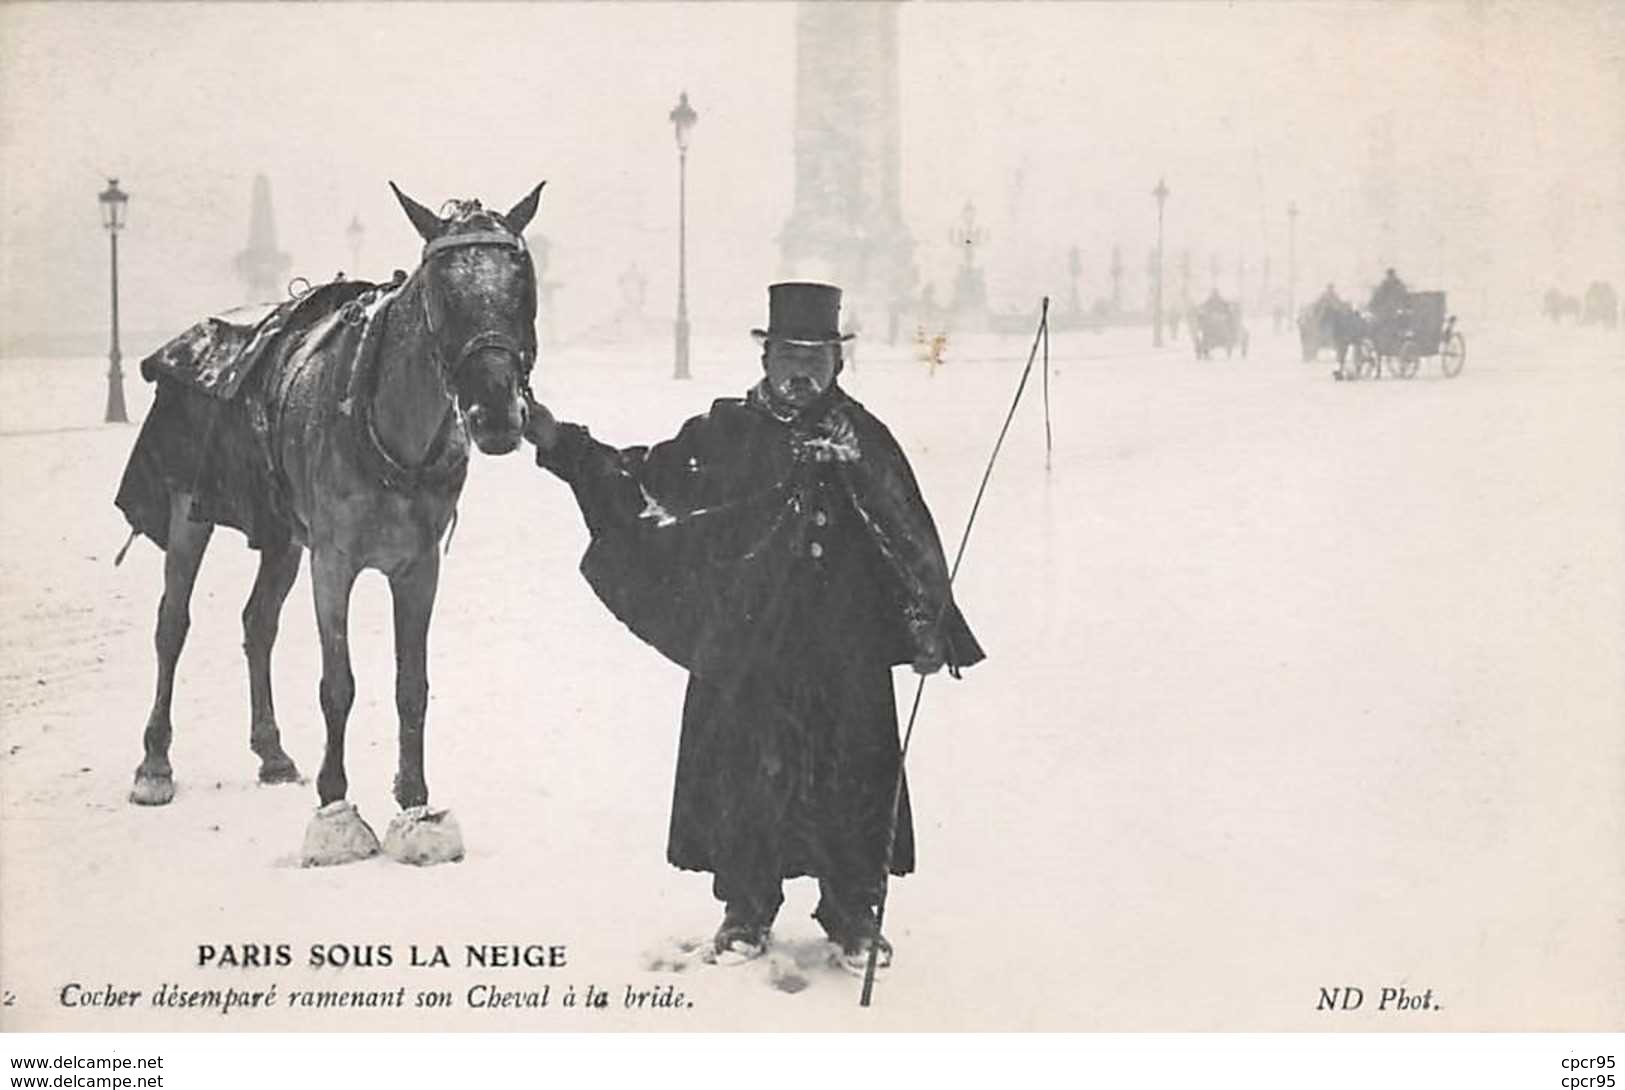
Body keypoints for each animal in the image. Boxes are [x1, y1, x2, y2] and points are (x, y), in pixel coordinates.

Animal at [117, 183, 546, 864]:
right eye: (441, 290)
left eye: (522, 282)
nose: (496, 412)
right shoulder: (334, 562)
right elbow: (337, 683)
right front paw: (336, 807)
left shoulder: (419, 566)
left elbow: (411, 683)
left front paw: (415, 803)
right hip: (190, 512)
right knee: (172, 625)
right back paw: (154, 764)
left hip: (282, 537)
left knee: (258, 622)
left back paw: (271, 752)